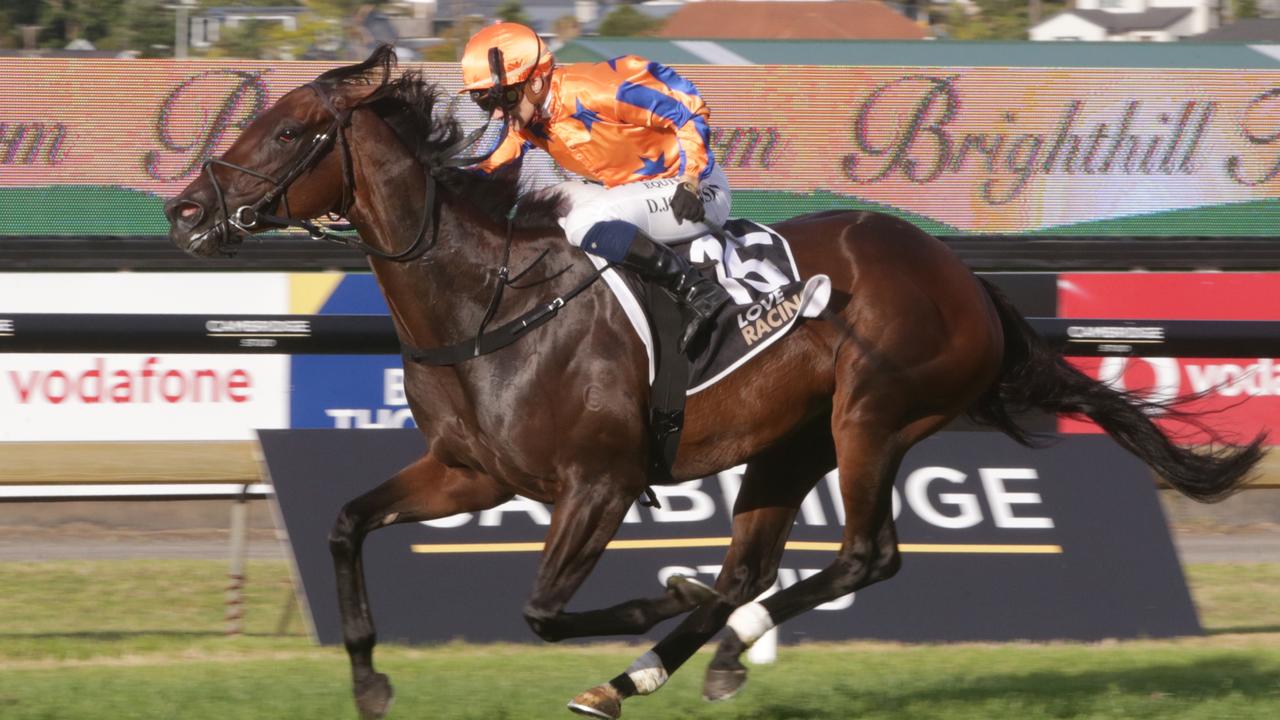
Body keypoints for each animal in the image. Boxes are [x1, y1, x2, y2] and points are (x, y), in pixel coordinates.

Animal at [164, 47, 1265, 720]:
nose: (184, 212)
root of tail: (961, 276)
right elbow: (347, 524)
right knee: (755, 571)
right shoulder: (471, 471)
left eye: (285, 132)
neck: (486, 301)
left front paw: (656, 595)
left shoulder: (599, 484)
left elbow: (544, 609)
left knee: (863, 556)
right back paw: (680, 661)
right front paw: (369, 683)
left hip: (872, 417)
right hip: (788, 442)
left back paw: (686, 650)